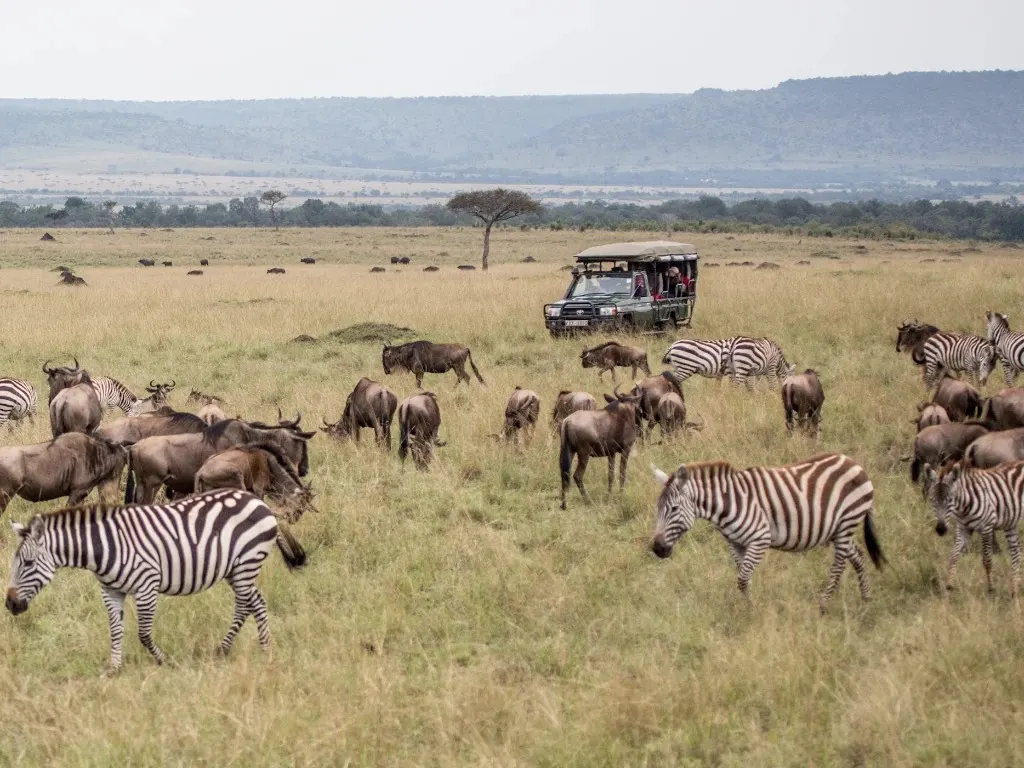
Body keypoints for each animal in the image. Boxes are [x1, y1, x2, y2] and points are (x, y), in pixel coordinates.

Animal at [5, 489, 306, 673]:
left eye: (28, 564)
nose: (10, 605)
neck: (104, 547)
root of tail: (259, 501)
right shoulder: (110, 591)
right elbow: (115, 630)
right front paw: (114, 669)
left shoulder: (146, 586)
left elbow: (143, 634)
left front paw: (164, 661)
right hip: (236, 569)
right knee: (256, 602)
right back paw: (257, 649)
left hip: (246, 563)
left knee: (245, 605)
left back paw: (234, 649)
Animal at [649, 453, 886, 612]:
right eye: (657, 509)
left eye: (674, 509)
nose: (657, 548)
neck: (728, 503)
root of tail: (853, 463)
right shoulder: (735, 543)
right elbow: (743, 578)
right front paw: (749, 609)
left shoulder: (760, 539)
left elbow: (743, 578)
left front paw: (752, 610)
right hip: (838, 530)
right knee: (858, 556)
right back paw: (866, 600)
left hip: (847, 522)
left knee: (838, 566)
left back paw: (823, 605)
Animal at [924, 461, 1024, 596]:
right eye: (932, 500)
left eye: (950, 500)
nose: (941, 529)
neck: (963, 507)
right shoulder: (963, 529)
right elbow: (954, 556)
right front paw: (949, 587)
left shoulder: (987, 528)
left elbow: (987, 560)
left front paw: (991, 590)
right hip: (1010, 522)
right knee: (1016, 553)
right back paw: (1014, 591)